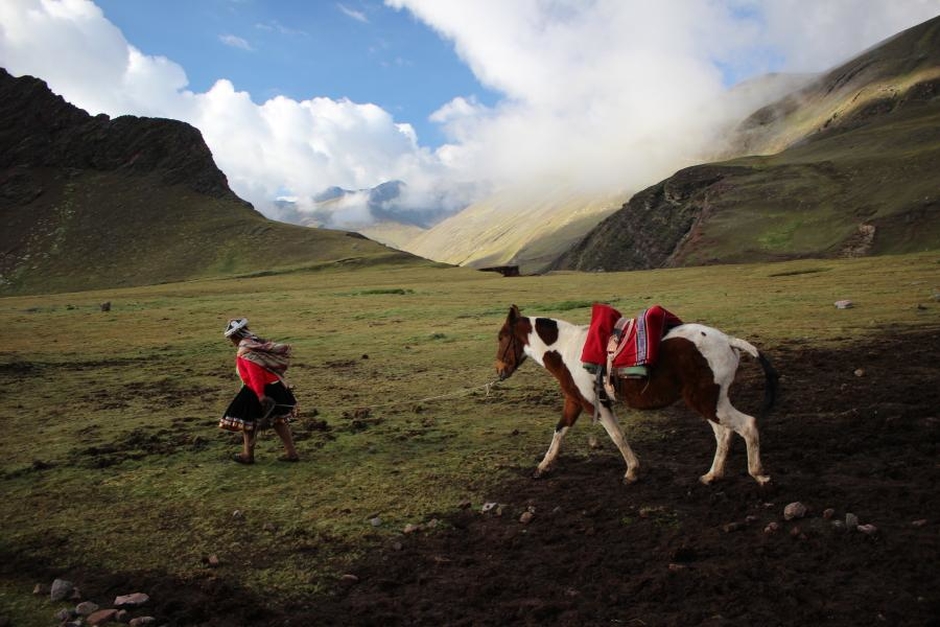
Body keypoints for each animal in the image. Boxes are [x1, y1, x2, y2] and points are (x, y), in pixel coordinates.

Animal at [492, 304, 780, 486]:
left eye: (501, 336)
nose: (499, 370)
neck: (567, 349)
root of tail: (728, 340)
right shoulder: (574, 400)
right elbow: (559, 431)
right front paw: (543, 467)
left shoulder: (595, 404)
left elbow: (617, 436)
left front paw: (632, 472)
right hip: (710, 401)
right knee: (724, 434)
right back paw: (712, 476)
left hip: (707, 402)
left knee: (747, 425)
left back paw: (759, 475)